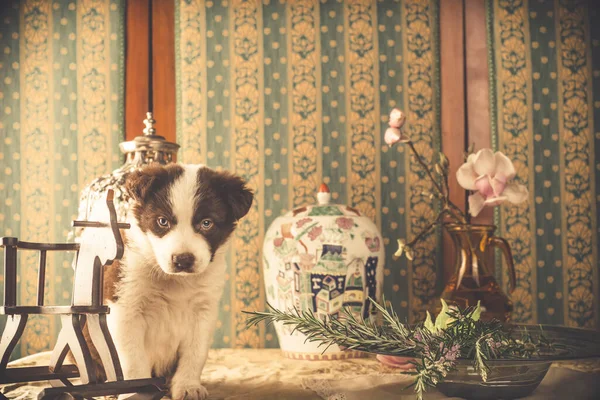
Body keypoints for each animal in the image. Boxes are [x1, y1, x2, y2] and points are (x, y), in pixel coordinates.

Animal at [103, 163, 251, 400]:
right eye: (162, 221)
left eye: (207, 223)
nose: (183, 260)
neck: (176, 281)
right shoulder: (125, 309)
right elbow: (133, 359)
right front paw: (136, 393)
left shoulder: (203, 311)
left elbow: (195, 353)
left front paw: (188, 386)